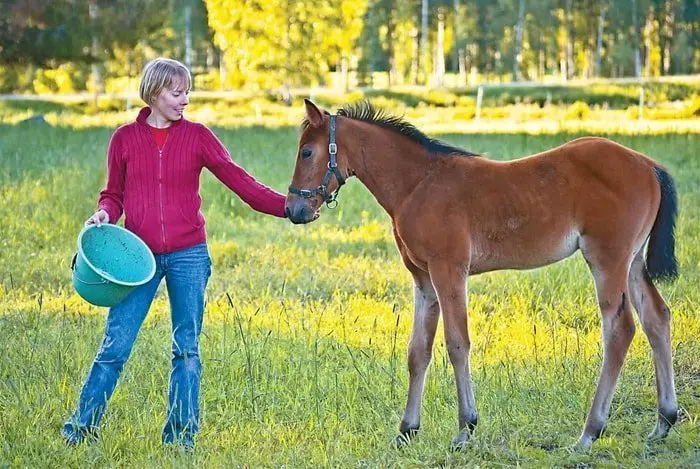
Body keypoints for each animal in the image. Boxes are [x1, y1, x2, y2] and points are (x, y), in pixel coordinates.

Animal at [284, 99, 680, 450]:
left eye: (307, 152)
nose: (294, 209)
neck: (418, 185)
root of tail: (648, 165)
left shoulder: (449, 270)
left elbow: (457, 344)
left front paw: (465, 429)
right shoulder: (423, 280)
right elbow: (417, 351)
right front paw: (407, 430)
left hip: (607, 260)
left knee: (621, 328)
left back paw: (590, 432)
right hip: (632, 262)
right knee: (657, 317)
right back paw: (664, 421)